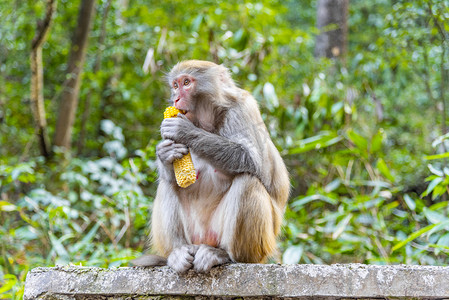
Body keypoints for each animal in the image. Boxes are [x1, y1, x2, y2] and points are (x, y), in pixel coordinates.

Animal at [131, 59, 288, 274]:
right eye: (175, 85)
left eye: (186, 83)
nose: (176, 99)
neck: (208, 122)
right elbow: (172, 176)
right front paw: (165, 153)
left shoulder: (243, 109)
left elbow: (252, 160)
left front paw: (184, 130)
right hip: (193, 237)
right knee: (167, 184)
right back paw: (177, 254)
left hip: (259, 245)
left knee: (247, 181)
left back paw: (225, 255)